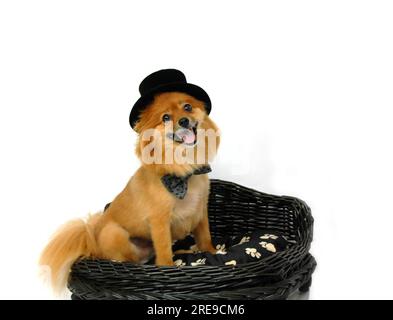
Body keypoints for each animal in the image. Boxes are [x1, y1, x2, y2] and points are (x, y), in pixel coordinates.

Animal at [39, 69, 220, 292]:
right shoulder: (159, 221)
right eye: (166, 118)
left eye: (187, 107)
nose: (184, 121)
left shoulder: (201, 209)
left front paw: (212, 252)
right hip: (114, 234)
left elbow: (205, 236)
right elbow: (163, 250)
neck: (185, 170)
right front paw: (169, 267)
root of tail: (92, 243)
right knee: (136, 261)